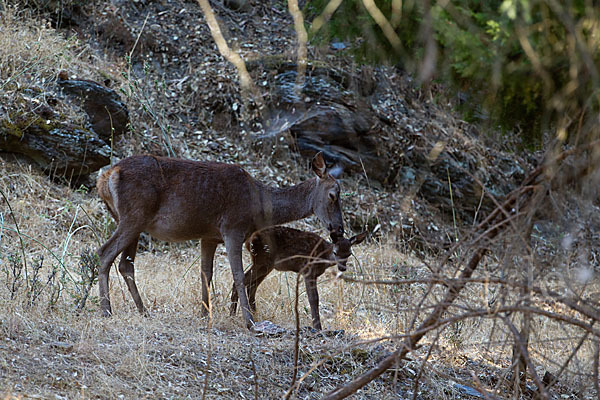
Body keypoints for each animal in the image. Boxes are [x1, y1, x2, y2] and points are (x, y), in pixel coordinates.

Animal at [96, 153, 344, 328]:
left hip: (130, 220)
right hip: (134, 215)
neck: (258, 204)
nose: (339, 229)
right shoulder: (233, 228)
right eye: (333, 195)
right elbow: (237, 275)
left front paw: (205, 313)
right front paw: (248, 321)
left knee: (125, 264)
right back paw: (106, 310)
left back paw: (143, 311)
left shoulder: (209, 236)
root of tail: (106, 177)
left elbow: (206, 273)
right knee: (104, 253)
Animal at [231, 227, 366, 330]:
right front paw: (317, 327)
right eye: (335, 252)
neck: (322, 256)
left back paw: (253, 313)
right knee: (241, 281)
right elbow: (313, 298)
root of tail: (249, 240)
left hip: (266, 265)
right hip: (263, 260)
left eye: (349, 253)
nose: (342, 268)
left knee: (252, 285)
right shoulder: (308, 271)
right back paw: (233, 314)